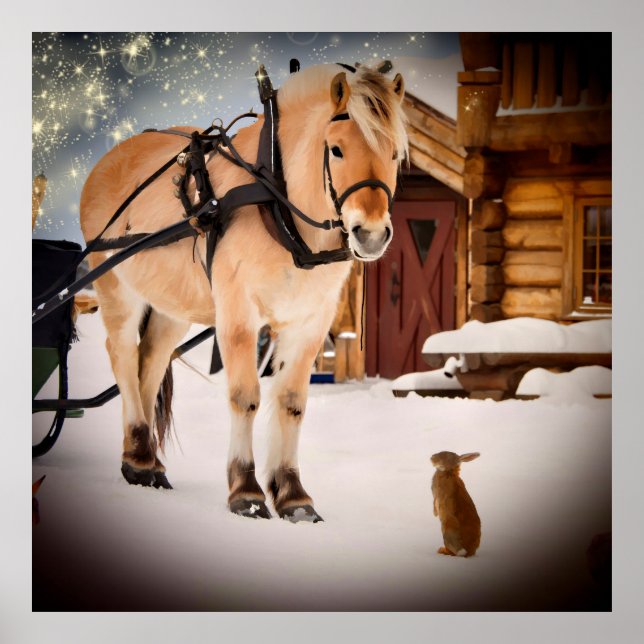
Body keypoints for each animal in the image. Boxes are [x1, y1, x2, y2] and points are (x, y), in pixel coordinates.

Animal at [79, 62, 408, 522]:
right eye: (337, 149)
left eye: (395, 154)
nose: (372, 234)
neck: (279, 205)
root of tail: (106, 161)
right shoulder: (238, 312)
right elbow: (245, 396)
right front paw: (246, 490)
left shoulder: (310, 320)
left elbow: (291, 402)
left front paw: (293, 495)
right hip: (115, 285)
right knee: (123, 354)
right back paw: (140, 458)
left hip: (173, 304)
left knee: (152, 360)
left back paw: (146, 460)